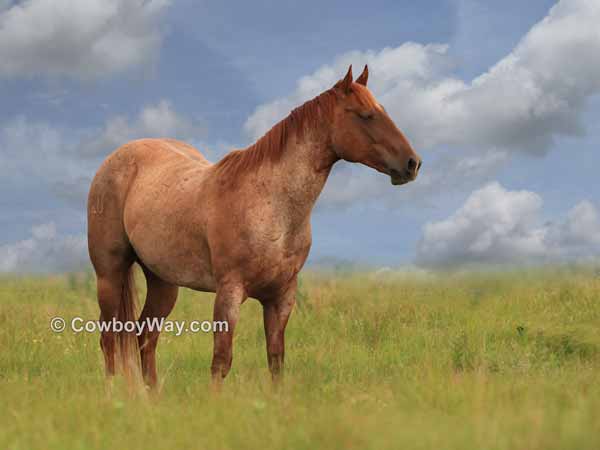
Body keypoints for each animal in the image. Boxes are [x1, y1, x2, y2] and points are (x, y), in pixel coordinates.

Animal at [86, 65, 422, 388]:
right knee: (109, 337)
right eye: (366, 115)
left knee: (146, 336)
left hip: (163, 281)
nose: (412, 164)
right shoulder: (230, 293)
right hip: (110, 274)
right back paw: (112, 394)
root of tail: (114, 159)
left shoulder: (281, 297)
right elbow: (221, 361)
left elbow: (276, 360)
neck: (270, 206)